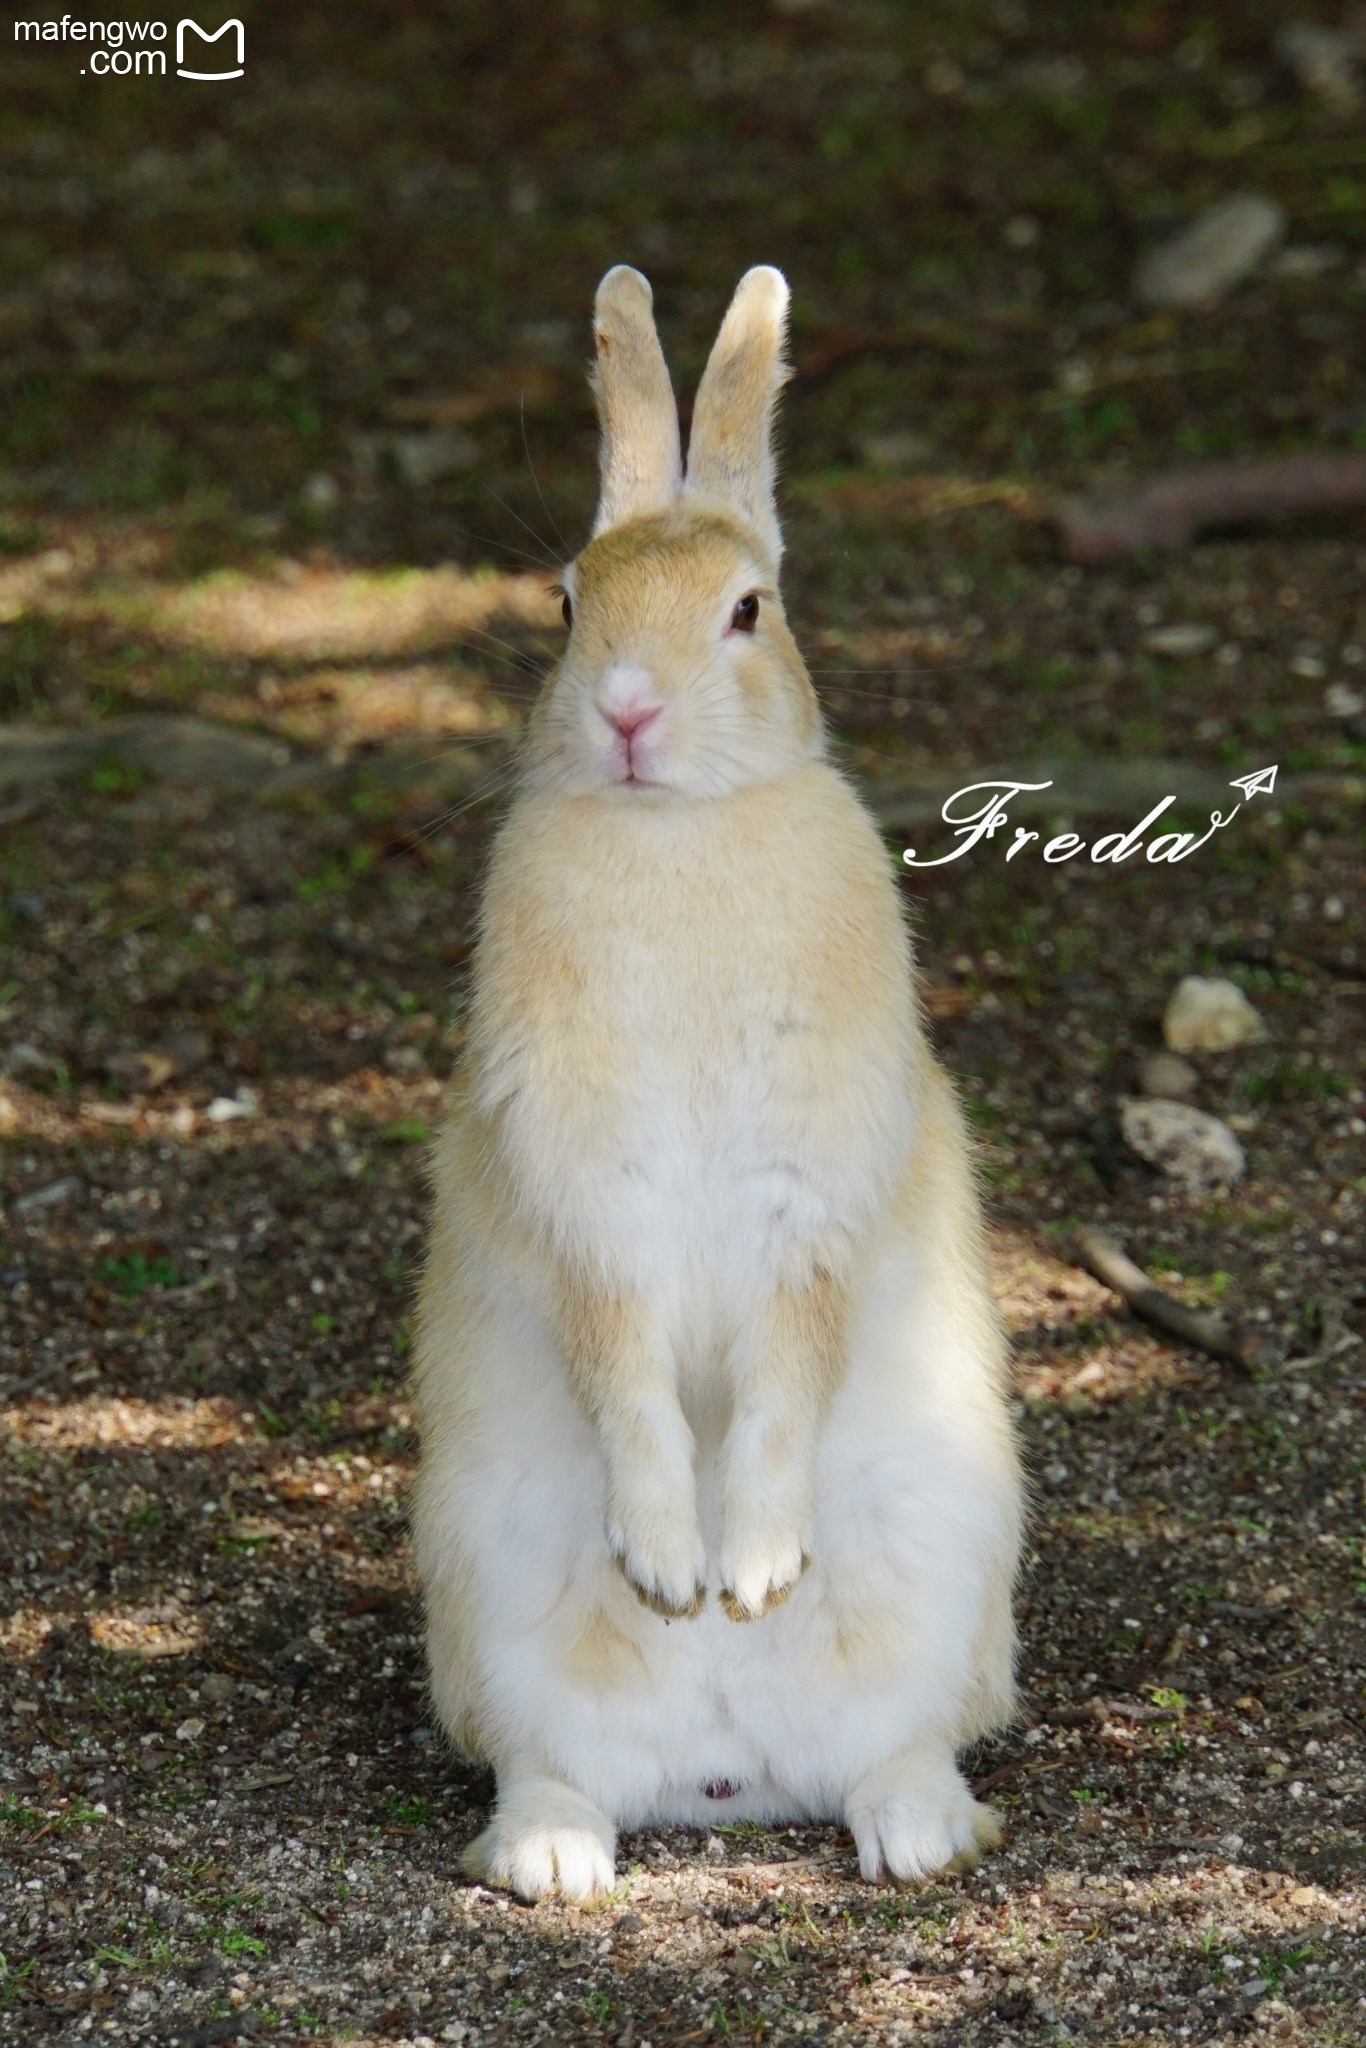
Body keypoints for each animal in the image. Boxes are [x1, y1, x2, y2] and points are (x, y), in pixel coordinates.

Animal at [411, 268, 1019, 1900]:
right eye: (568, 601)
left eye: (749, 611)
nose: (626, 712)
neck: (678, 827)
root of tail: (727, 1781)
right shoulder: (581, 1192)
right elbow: (624, 1362)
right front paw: (673, 1567)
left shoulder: (809, 1184)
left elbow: (785, 1364)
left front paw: (748, 1569)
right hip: (486, 1589)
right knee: (550, 1765)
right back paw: (555, 1858)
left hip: (947, 1564)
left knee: (902, 1747)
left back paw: (910, 1835)